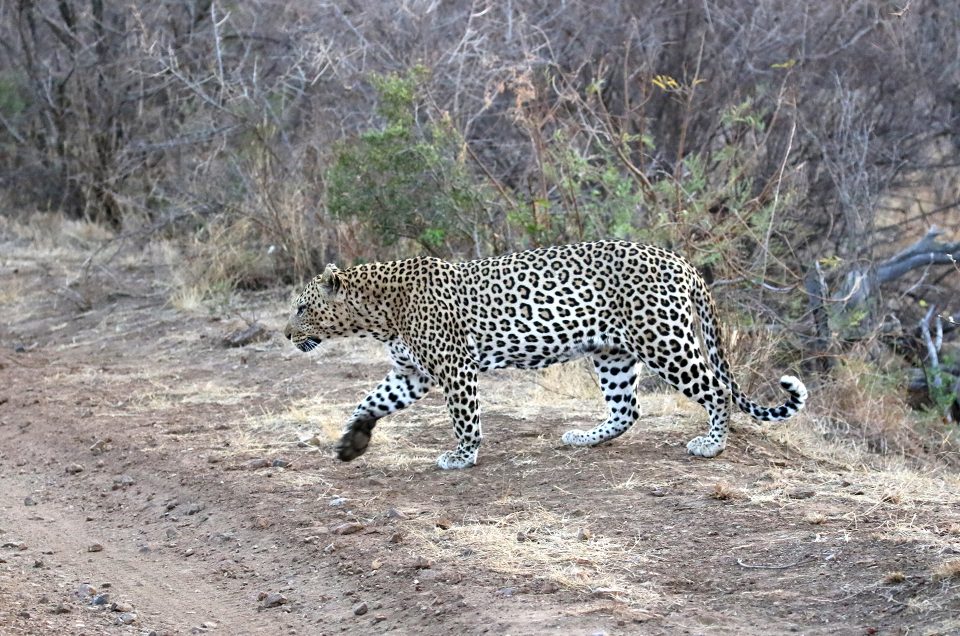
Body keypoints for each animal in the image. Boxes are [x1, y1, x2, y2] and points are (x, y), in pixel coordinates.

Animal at [282, 241, 808, 470]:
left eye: (303, 308)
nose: (286, 334)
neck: (377, 311)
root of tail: (680, 260)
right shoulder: (412, 372)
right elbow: (369, 402)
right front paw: (352, 443)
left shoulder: (454, 366)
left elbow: (465, 418)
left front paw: (463, 456)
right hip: (612, 352)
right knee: (627, 409)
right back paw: (584, 438)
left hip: (663, 340)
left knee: (717, 388)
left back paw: (712, 444)